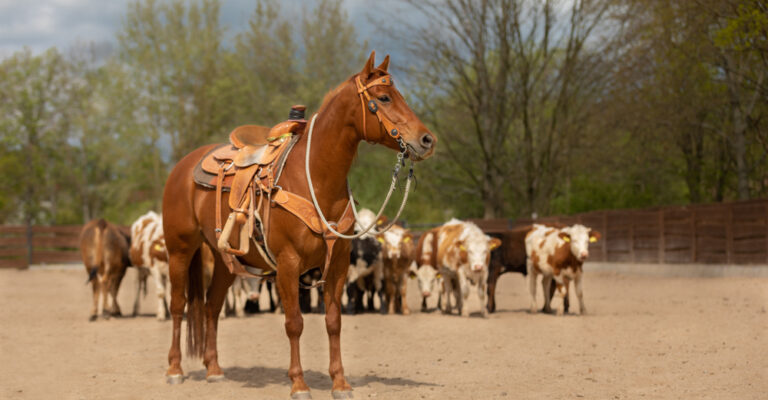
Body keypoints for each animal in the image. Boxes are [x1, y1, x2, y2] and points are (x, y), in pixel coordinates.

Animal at [161, 51, 436, 398]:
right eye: (384, 97)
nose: (427, 140)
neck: (314, 179)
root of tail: (182, 167)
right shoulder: (288, 264)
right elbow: (294, 322)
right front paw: (299, 384)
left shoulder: (338, 264)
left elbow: (333, 321)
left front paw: (340, 383)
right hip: (180, 250)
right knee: (178, 305)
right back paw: (174, 369)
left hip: (226, 259)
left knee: (211, 307)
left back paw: (213, 370)